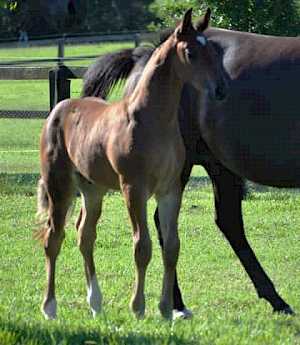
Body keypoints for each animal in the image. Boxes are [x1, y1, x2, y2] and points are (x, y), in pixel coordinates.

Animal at [35, 8, 227, 320]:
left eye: (212, 51)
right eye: (190, 52)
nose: (221, 90)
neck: (152, 120)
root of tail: (58, 109)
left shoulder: (170, 190)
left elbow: (172, 247)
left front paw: (165, 309)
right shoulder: (133, 189)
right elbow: (142, 246)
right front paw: (138, 307)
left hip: (93, 189)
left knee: (85, 235)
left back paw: (95, 304)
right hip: (58, 184)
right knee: (54, 238)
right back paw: (50, 308)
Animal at [82, 22, 300, 316]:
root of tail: (145, 56)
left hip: (220, 167)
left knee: (228, 222)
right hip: (180, 169)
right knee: (166, 224)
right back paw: (177, 304)